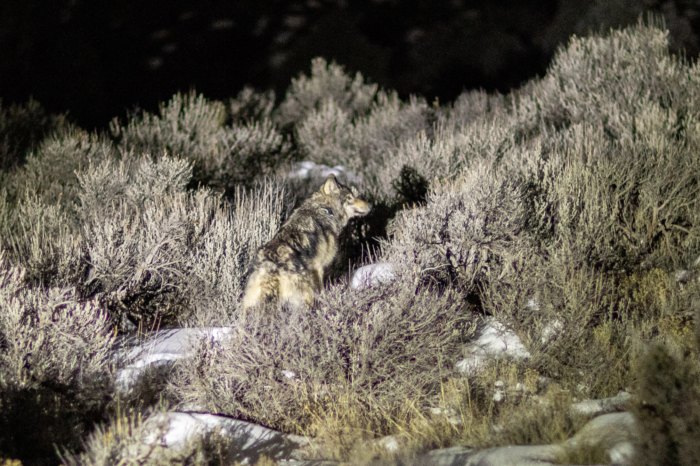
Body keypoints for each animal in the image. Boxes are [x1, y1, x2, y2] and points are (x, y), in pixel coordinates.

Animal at [242, 174, 371, 312]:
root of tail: (270, 266)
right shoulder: (319, 267)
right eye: (350, 197)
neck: (325, 209)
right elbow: (321, 290)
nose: (371, 205)